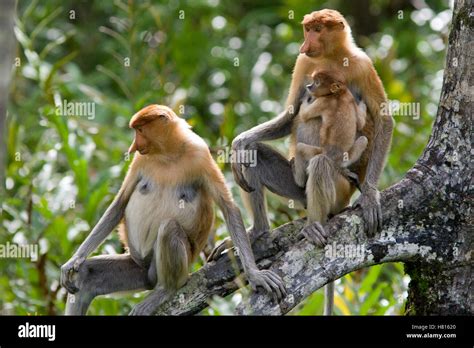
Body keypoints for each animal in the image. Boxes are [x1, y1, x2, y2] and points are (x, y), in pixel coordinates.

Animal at [294, 70, 368, 227]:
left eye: (316, 82)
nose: (309, 86)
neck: (339, 94)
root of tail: (335, 159)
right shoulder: (350, 99)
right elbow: (360, 122)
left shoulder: (323, 102)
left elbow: (304, 114)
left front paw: (304, 100)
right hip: (348, 155)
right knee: (363, 140)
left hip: (318, 153)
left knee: (301, 148)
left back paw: (299, 179)